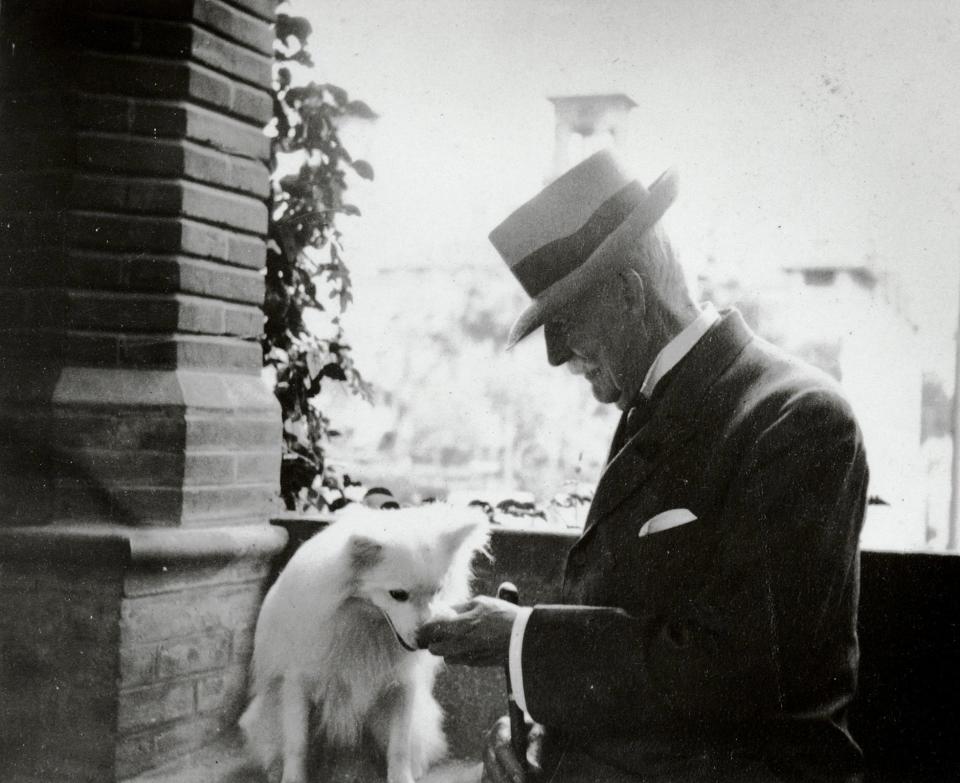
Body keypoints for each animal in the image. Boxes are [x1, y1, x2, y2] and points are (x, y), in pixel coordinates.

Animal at [240, 502, 488, 783]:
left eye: (437, 591)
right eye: (398, 594)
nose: (426, 638)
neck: (364, 623)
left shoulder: (402, 686)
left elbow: (399, 747)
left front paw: (401, 778)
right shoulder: (297, 684)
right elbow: (297, 744)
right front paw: (293, 778)